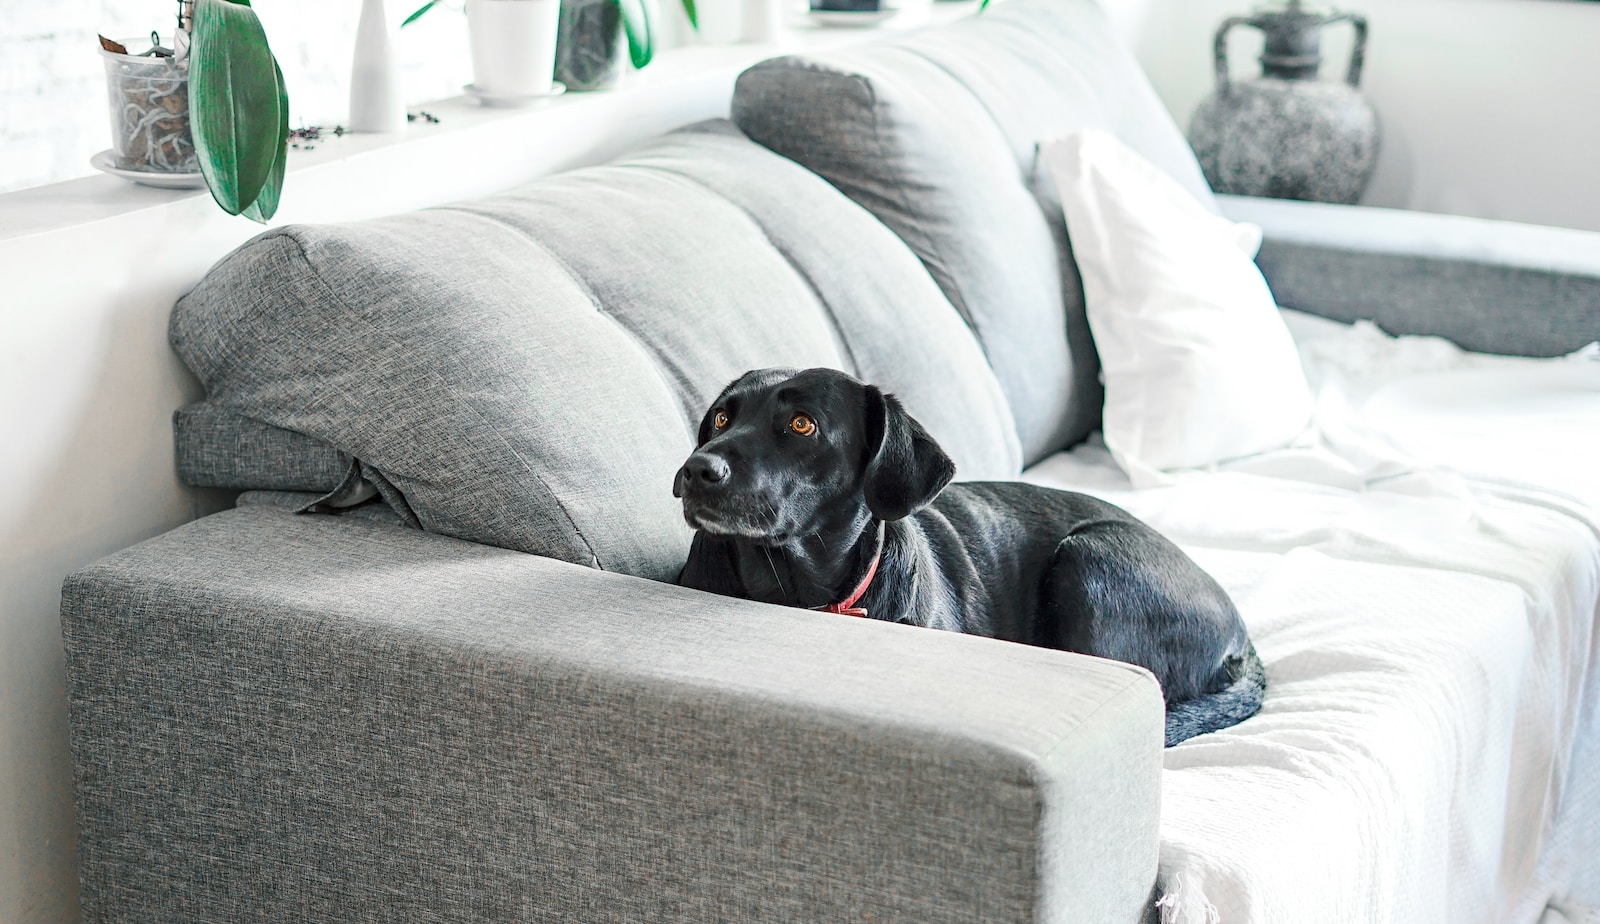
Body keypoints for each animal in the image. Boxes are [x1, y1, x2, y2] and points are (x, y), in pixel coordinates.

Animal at [672, 364, 1260, 741]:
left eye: (802, 424)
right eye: (721, 419)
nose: (697, 468)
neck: (801, 591)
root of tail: (1243, 636)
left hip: (1089, 558)